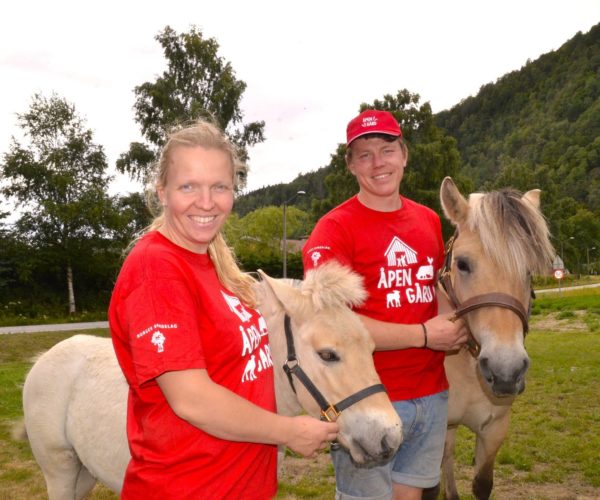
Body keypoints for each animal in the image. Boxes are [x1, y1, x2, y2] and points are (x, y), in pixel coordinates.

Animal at [22, 264, 404, 498]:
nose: (391, 437)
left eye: (372, 348)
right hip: (59, 471)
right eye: (328, 354)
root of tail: (42, 361)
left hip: (84, 473)